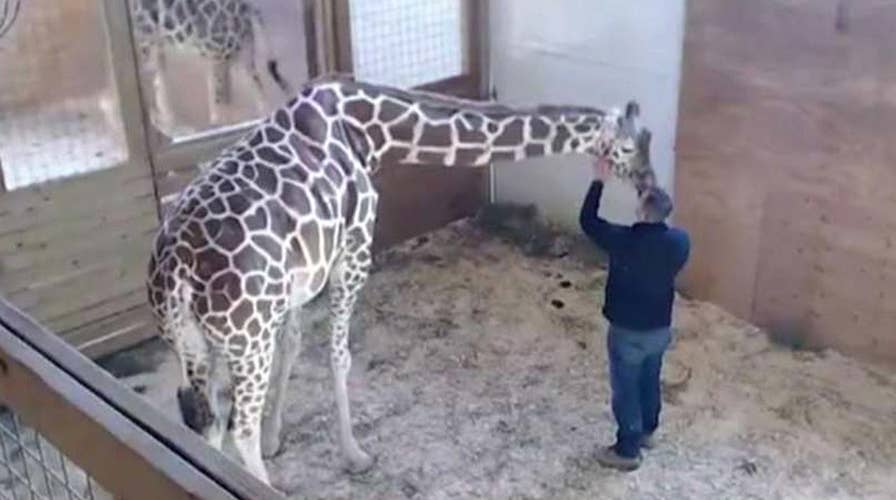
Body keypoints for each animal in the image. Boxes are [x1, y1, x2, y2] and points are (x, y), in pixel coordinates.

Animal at [146, 74, 656, 486]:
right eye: (630, 148)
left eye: (649, 139)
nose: (651, 188)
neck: (372, 130)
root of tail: (173, 270)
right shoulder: (353, 250)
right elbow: (338, 356)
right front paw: (354, 455)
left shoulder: (298, 280)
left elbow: (294, 346)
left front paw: (279, 438)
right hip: (245, 338)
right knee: (238, 428)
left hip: (196, 343)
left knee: (209, 420)